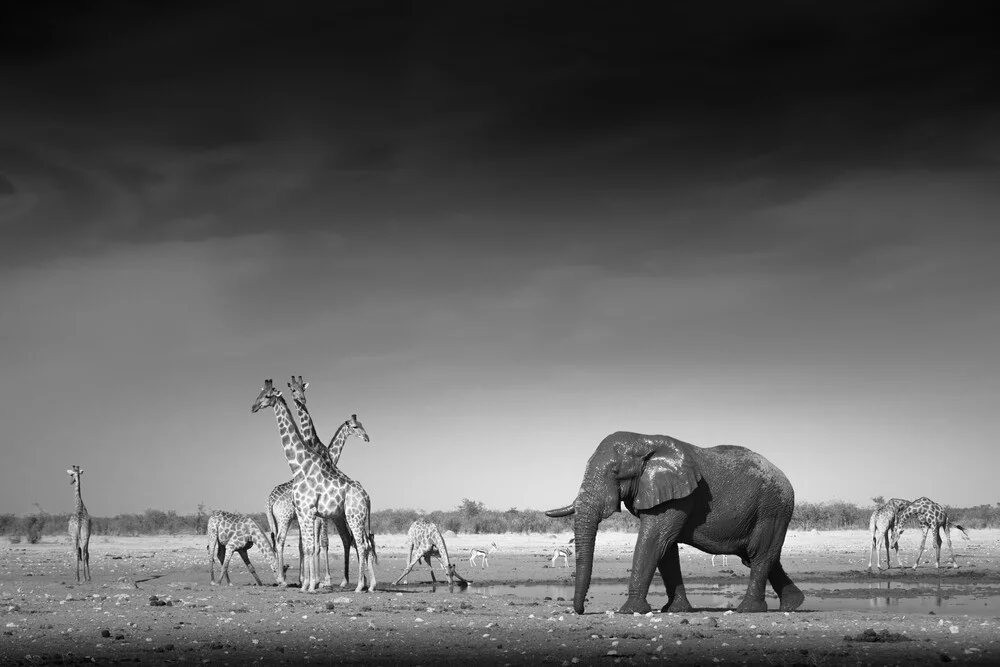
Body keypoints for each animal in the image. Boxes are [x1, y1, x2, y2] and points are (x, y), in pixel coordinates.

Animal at [250, 378, 376, 592]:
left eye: (267, 396)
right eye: (259, 394)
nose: (253, 407)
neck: (299, 466)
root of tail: (366, 497)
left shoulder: (310, 512)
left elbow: (315, 545)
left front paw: (313, 583)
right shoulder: (303, 512)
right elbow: (307, 546)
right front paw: (307, 584)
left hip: (352, 516)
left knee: (360, 544)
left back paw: (360, 585)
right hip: (346, 517)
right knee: (360, 543)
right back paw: (368, 584)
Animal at [548, 434, 804, 616]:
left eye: (615, 472)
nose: (581, 611)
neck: (643, 440)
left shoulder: (679, 497)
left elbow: (654, 541)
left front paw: (630, 611)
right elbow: (666, 549)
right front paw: (675, 610)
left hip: (773, 508)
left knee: (760, 554)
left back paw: (748, 610)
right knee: (759, 557)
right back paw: (793, 605)